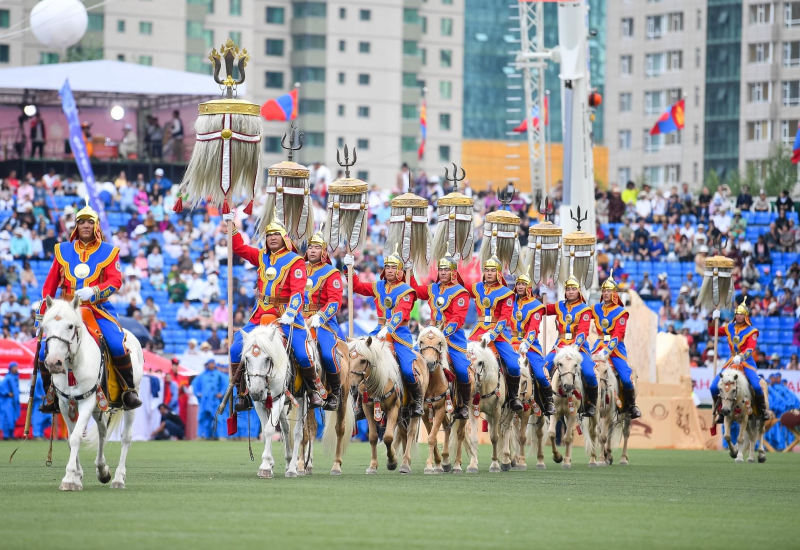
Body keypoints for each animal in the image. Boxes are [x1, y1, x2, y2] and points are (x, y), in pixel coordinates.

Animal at [39, 300, 144, 494]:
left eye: (70, 326)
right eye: (45, 327)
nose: (53, 363)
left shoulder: (87, 401)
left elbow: (76, 437)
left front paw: (69, 478)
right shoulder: (65, 404)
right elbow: (71, 438)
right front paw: (76, 478)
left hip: (130, 399)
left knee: (126, 437)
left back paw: (118, 478)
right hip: (97, 407)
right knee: (102, 430)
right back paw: (102, 470)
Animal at [239, 326, 308, 480]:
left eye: (267, 359)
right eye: (247, 358)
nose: (256, 392)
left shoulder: (278, 399)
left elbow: (269, 429)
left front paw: (265, 466)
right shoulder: (259, 403)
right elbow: (265, 432)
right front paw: (269, 463)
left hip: (302, 399)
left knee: (297, 433)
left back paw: (293, 468)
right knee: (286, 428)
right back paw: (288, 462)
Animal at [346, 338, 428, 476]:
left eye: (363, 360)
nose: (351, 385)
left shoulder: (393, 408)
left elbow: (388, 437)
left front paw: (392, 461)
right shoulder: (368, 409)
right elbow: (373, 437)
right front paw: (373, 466)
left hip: (413, 410)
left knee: (410, 432)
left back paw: (405, 464)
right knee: (403, 433)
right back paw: (406, 462)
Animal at [462, 340, 506, 474]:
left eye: (480, 362)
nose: (473, 381)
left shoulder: (497, 411)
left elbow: (494, 437)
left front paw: (495, 465)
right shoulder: (473, 410)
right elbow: (474, 438)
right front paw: (472, 465)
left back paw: (509, 461)